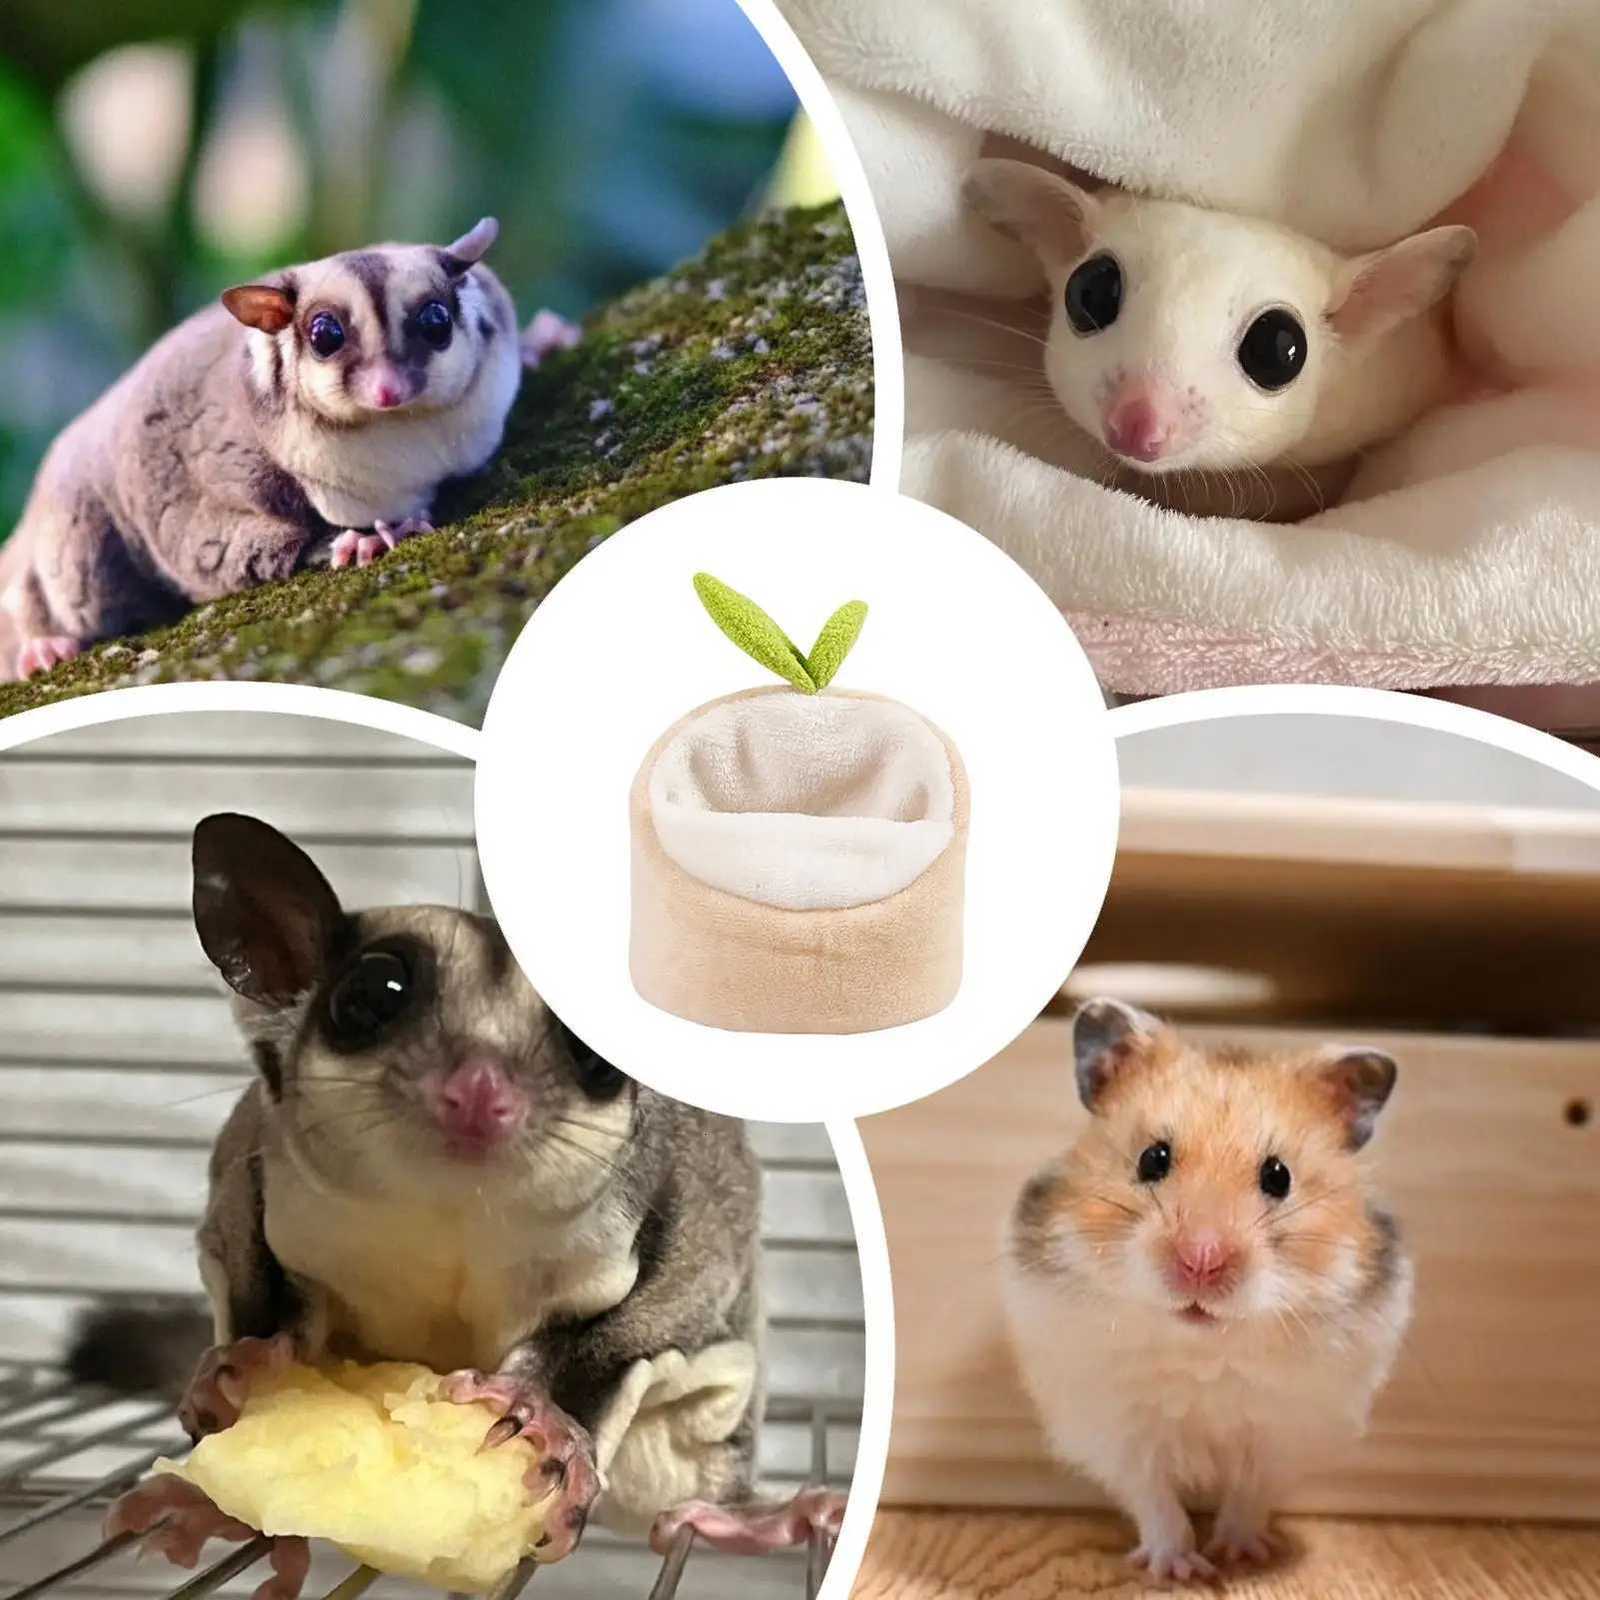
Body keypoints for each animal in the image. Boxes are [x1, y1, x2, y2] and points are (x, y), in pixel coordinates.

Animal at [0, 219, 576, 681]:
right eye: (325, 335)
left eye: (436, 322)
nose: (388, 390)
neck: (405, 439)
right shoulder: (220, 474)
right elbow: (213, 551)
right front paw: (362, 540)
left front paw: (543, 342)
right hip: (71, 534)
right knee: (75, 585)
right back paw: (43, 644)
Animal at [88, 814, 841, 1592]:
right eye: (372, 994)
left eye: (592, 1053)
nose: (480, 1089)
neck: (447, 1220)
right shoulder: (247, 1159)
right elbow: (250, 1275)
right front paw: (247, 1365)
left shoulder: (682, 1213)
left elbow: (645, 1321)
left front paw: (542, 1415)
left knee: (679, 1506)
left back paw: (760, 1516)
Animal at [1003, 998, 1411, 1582]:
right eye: (1152, 1158)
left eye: (1279, 1176)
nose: (1201, 1260)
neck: (1202, 1346)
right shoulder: (1122, 1431)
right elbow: (1157, 1502)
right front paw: (1179, 1569)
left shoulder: (1280, 1435)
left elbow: (1248, 1497)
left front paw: (1239, 1555)